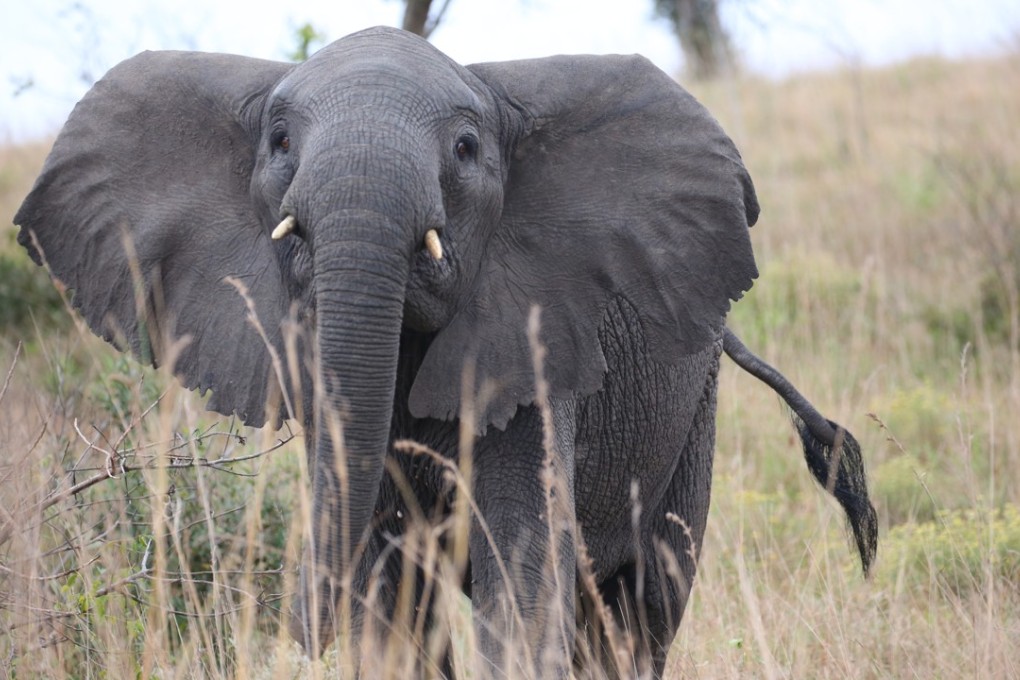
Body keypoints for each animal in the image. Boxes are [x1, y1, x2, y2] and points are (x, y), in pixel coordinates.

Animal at [15, 26, 877, 678]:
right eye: (281, 141)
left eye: (464, 148)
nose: (298, 635)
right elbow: (388, 590)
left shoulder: (536, 342)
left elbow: (523, 572)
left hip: (692, 410)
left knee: (642, 607)